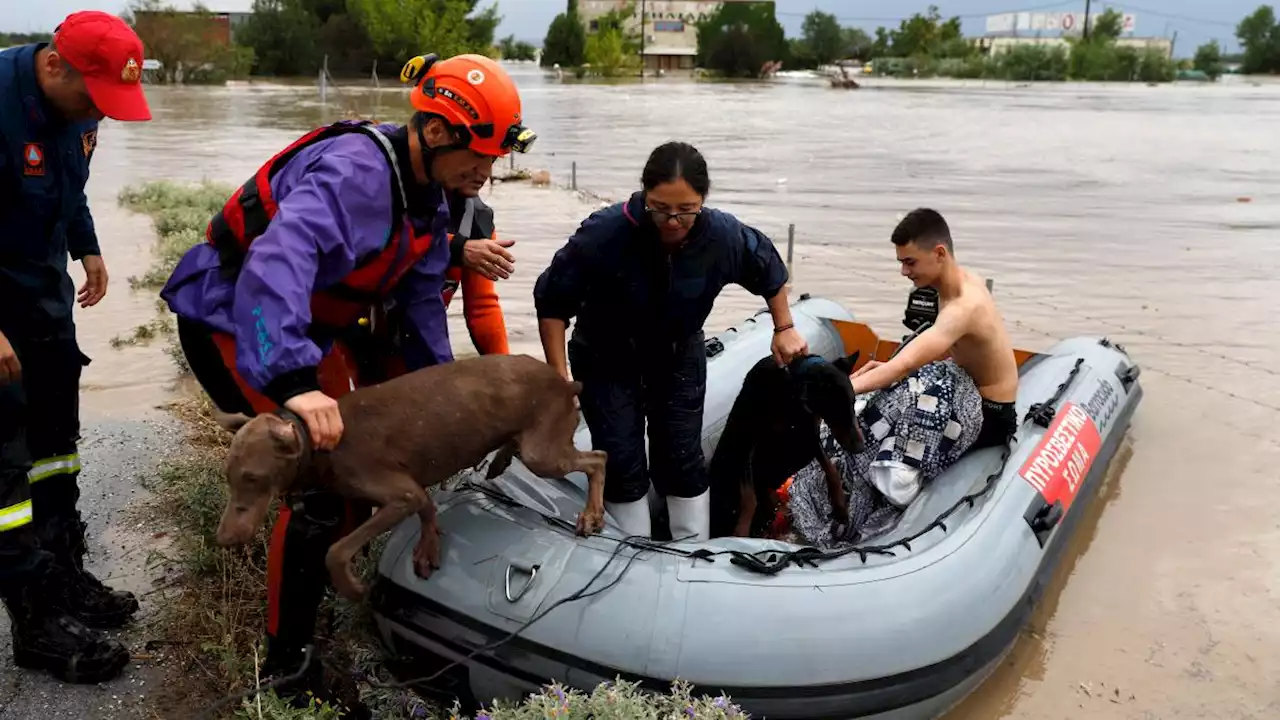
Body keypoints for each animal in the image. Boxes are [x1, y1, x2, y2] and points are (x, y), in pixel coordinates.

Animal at [212, 351, 606, 597]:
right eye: (228, 478)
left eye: (253, 478)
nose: (224, 539)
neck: (321, 442)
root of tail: (565, 382)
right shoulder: (412, 491)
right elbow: (427, 507)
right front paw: (429, 545)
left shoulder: (398, 494)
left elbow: (335, 552)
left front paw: (352, 588)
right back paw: (500, 461)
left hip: (544, 453)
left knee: (598, 458)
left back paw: (591, 515)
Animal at [706, 351, 865, 535]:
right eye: (835, 410)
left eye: (853, 402)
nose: (861, 448)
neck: (792, 392)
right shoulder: (747, 443)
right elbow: (749, 498)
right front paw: (740, 533)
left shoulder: (809, 433)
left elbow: (830, 468)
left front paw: (840, 507)